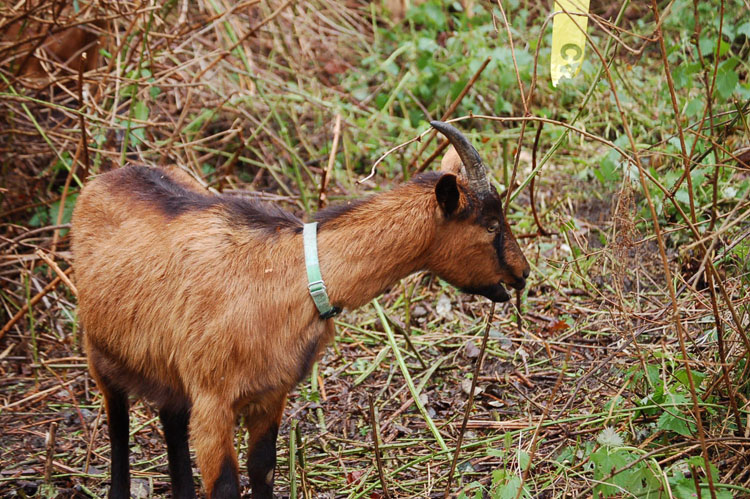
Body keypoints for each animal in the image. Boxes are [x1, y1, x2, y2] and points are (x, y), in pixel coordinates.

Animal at [71, 122, 530, 498]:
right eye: (491, 225)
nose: (523, 273)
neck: (293, 273)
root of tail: (104, 177)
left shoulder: (271, 393)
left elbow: (263, 471)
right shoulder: (213, 403)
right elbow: (224, 485)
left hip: (168, 369)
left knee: (169, 420)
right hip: (99, 351)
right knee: (118, 425)